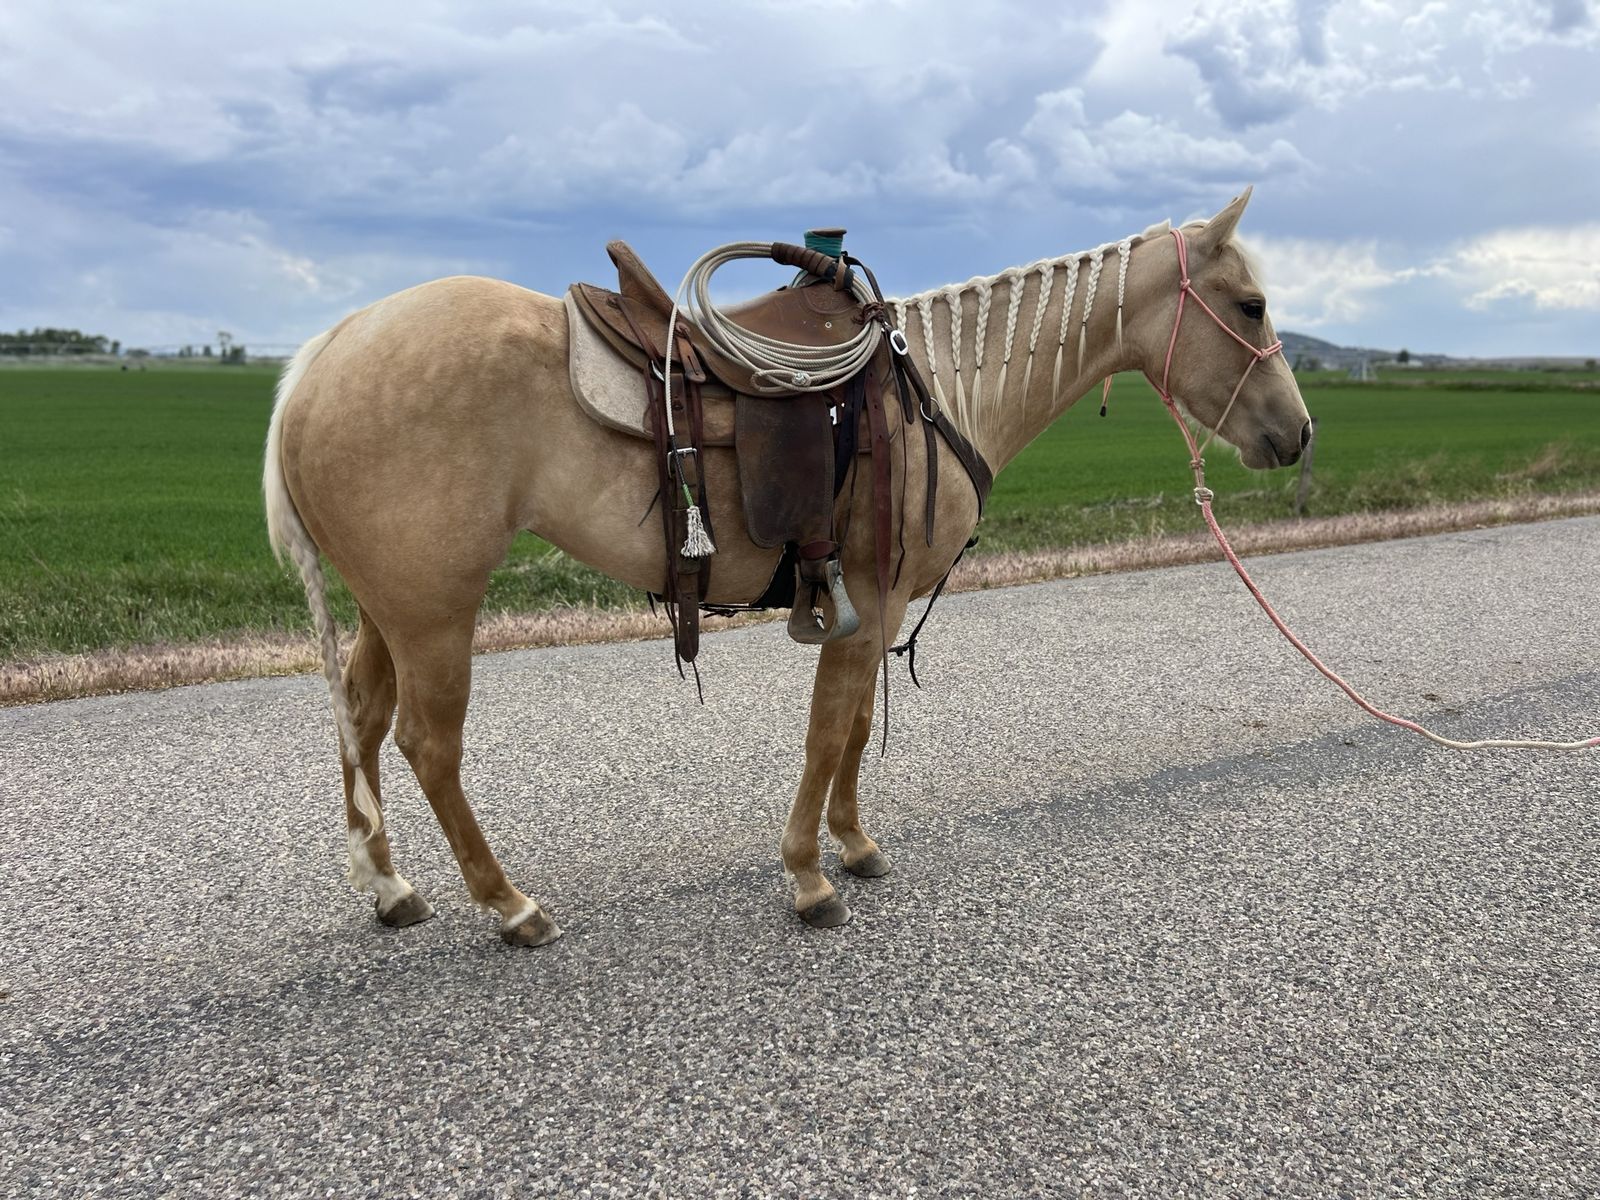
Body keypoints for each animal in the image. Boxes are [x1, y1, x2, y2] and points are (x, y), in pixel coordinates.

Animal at [263, 188, 1310, 945]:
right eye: (1250, 304)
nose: (1298, 434)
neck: (937, 388)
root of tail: (326, 350)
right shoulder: (871, 593)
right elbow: (825, 732)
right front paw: (809, 875)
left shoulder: (872, 605)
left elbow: (851, 728)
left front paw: (853, 844)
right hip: (436, 612)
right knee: (427, 746)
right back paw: (510, 904)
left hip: (389, 610)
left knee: (362, 717)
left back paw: (389, 886)